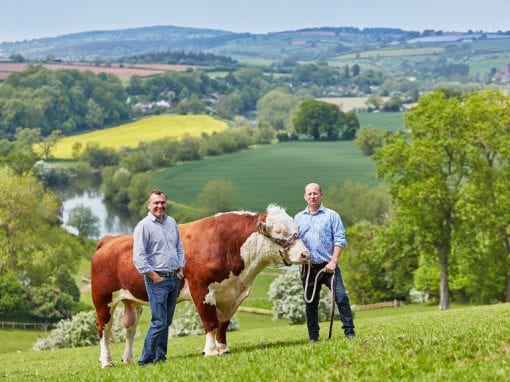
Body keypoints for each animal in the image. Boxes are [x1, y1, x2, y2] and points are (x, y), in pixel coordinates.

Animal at [89, 203, 308, 368]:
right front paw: (211, 351)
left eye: (296, 228)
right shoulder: (201, 290)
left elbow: (222, 323)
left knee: (130, 329)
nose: (305, 254)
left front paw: (223, 349)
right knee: (104, 329)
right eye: (279, 230)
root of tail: (109, 239)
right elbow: (210, 322)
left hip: (131, 300)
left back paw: (128, 359)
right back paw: (106, 361)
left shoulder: (231, 295)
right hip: (103, 299)